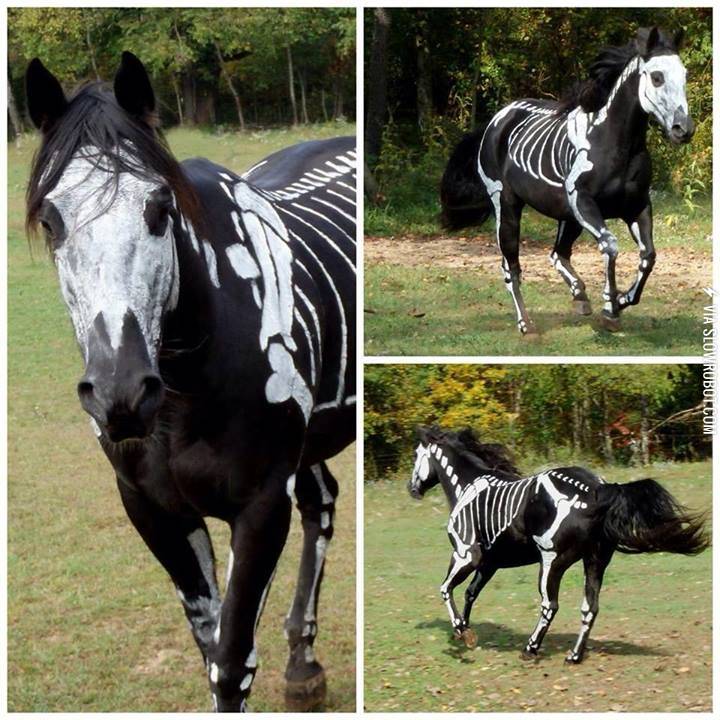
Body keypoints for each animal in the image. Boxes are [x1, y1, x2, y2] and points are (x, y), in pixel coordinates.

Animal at [25, 52, 356, 712]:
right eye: (50, 221)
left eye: (159, 208)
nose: (121, 394)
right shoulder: (152, 509)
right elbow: (209, 646)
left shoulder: (261, 506)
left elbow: (231, 662)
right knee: (323, 500)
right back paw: (303, 663)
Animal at [407, 426, 708, 662]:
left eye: (415, 455)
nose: (412, 489)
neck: (468, 486)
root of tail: (597, 489)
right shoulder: (490, 563)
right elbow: (470, 593)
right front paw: (465, 632)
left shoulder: (465, 555)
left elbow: (445, 589)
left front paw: (460, 631)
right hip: (595, 561)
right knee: (590, 608)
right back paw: (574, 655)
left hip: (551, 561)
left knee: (549, 605)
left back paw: (530, 648)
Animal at [440, 27, 694, 334]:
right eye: (657, 76)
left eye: (685, 75)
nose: (683, 129)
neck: (614, 142)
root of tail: (497, 119)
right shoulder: (583, 201)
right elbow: (610, 246)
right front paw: (609, 308)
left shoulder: (637, 206)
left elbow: (648, 257)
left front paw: (621, 300)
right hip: (508, 205)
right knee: (511, 266)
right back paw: (526, 324)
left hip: (567, 217)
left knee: (557, 254)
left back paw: (580, 296)